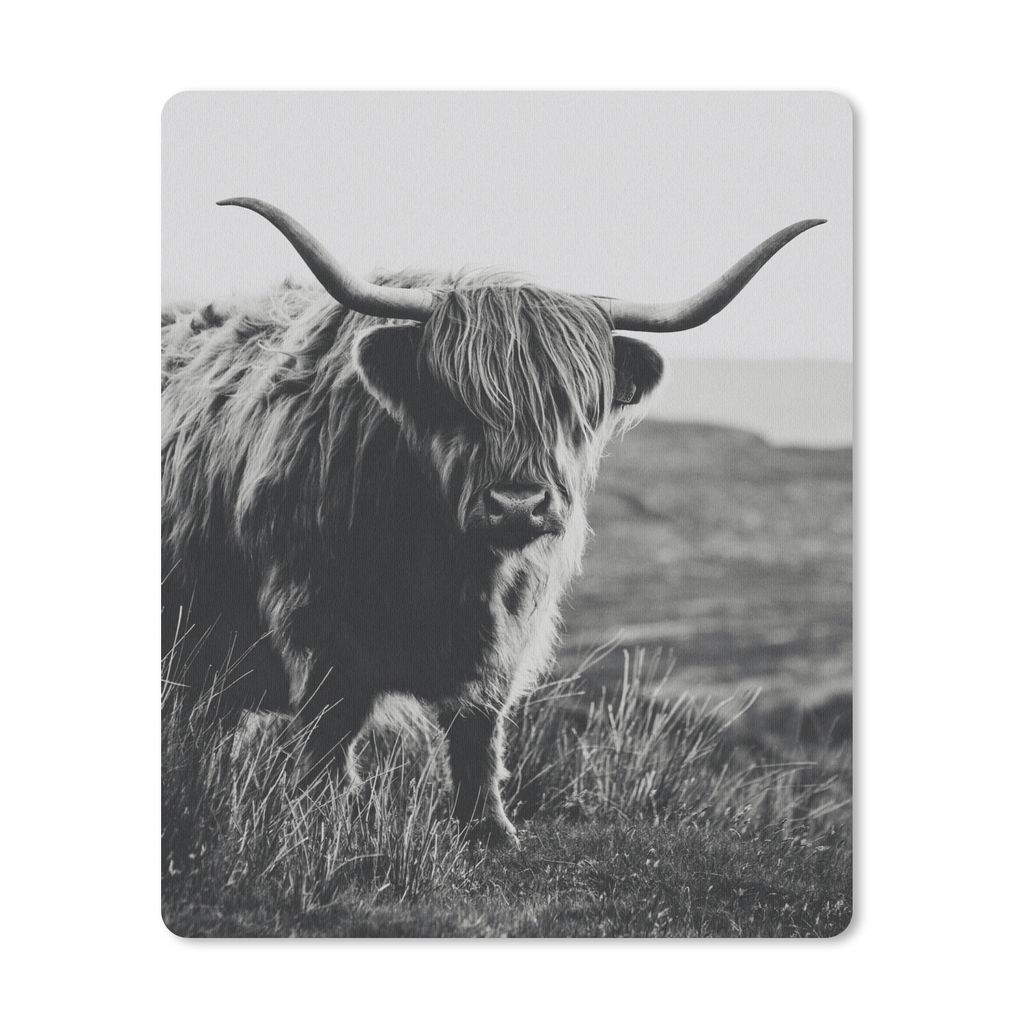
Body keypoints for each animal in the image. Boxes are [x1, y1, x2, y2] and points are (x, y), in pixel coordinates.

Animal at [161, 198, 823, 844]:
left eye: (572, 407)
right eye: (455, 400)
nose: (519, 504)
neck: (444, 560)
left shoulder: (509, 625)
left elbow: (479, 720)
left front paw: (488, 826)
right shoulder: (314, 613)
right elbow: (332, 720)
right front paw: (325, 813)